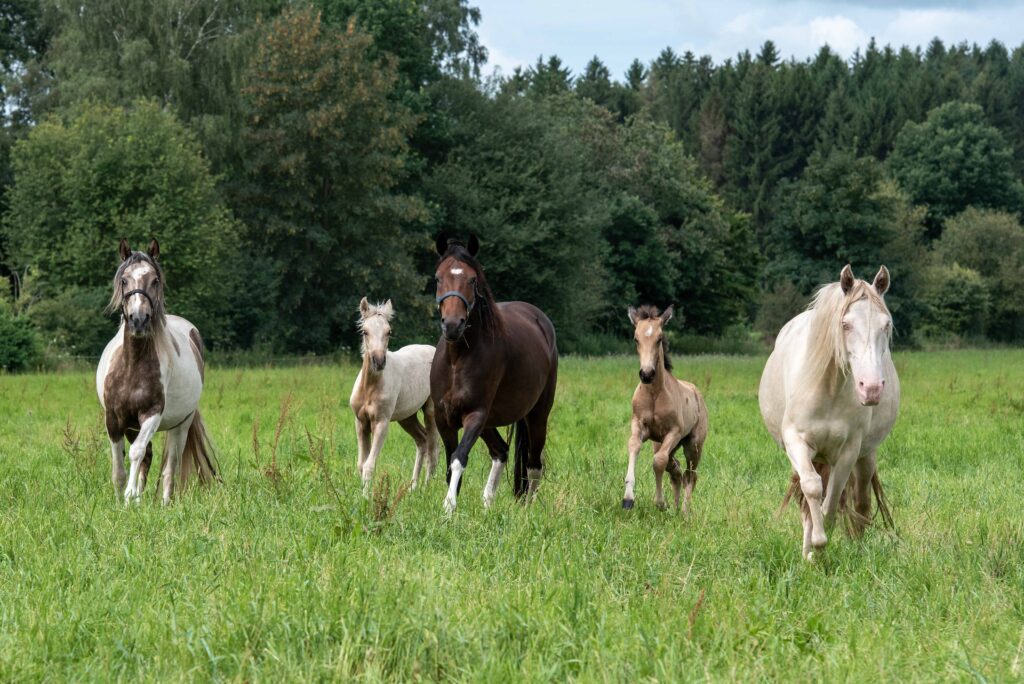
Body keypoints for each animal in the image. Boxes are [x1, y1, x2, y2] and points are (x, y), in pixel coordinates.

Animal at [95, 239, 218, 501]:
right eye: (124, 280)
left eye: (155, 280)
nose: (138, 320)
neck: (132, 365)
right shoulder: (114, 420)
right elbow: (119, 467)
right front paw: (122, 499)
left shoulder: (152, 414)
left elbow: (136, 452)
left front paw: (129, 497)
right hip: (134, 426)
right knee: (149, 456)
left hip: (181, 425)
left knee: (171, 465)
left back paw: (164, 502)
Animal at [350, 296, 438, 493]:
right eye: (365, 331)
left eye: (388, 332)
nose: (379, 361)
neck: (370, 387)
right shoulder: (361, 422)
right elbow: (361, 464)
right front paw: (360, 493)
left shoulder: (381, 423)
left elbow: (369, 465)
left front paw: (365, 496)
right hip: (407, 417)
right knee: (422, 440)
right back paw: (412, 487)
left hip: (430, 411)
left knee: (433, 448)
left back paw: (426, 488)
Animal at [432, 235, 561, 511]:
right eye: (438, 278)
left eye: (472, 279)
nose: (452, 325)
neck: (457, 359)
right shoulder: (444, 419)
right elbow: (450, 465)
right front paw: (451, 505)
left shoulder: (476, 415)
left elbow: (459, 458)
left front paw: (448, 508)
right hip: (491, 421)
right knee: (501, 451)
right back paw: (487, 503)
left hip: (536, 415)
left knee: (533, 464)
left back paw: (527, 509)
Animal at [618, 305, 708, 511]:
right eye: (636, 338)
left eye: (659, 338)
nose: (646, 374)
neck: (654, 395)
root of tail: (697, 393)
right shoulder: (639, 425)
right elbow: (634, 446)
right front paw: (628, 499)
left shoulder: (674, 431)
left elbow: (658, 461)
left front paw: (660, 502)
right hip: (662, 443)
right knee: (675, 469)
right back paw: (675, 507)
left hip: (693, 445)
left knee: (690, 474)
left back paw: (684, 511)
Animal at [761, 264, 897, 557]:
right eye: (845, 324)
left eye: (886, 325)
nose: (871, 389)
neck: (828, 390)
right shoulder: (797, 443)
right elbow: (812, 490)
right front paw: (814, 548)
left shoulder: (848, 452)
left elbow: (831, 504)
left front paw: (820, 549)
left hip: (865, 456)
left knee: (861, 503)